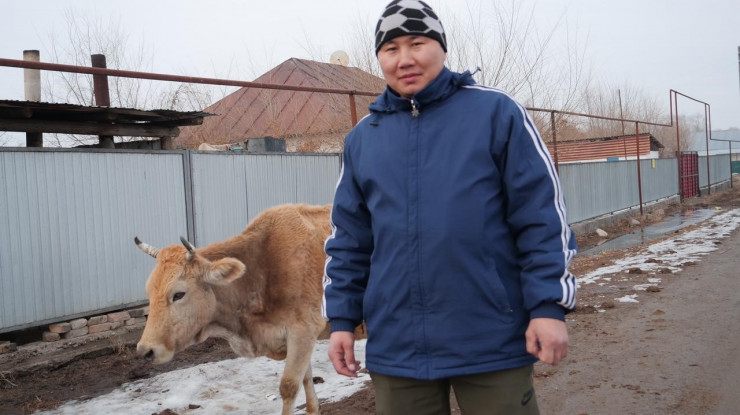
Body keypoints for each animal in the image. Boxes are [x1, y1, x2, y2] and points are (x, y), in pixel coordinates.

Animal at [134, 203, 332, 415]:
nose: (146, 350)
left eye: (178, 294)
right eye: (149, 292)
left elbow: (289, 387)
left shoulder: (304, 330)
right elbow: (306, 377)